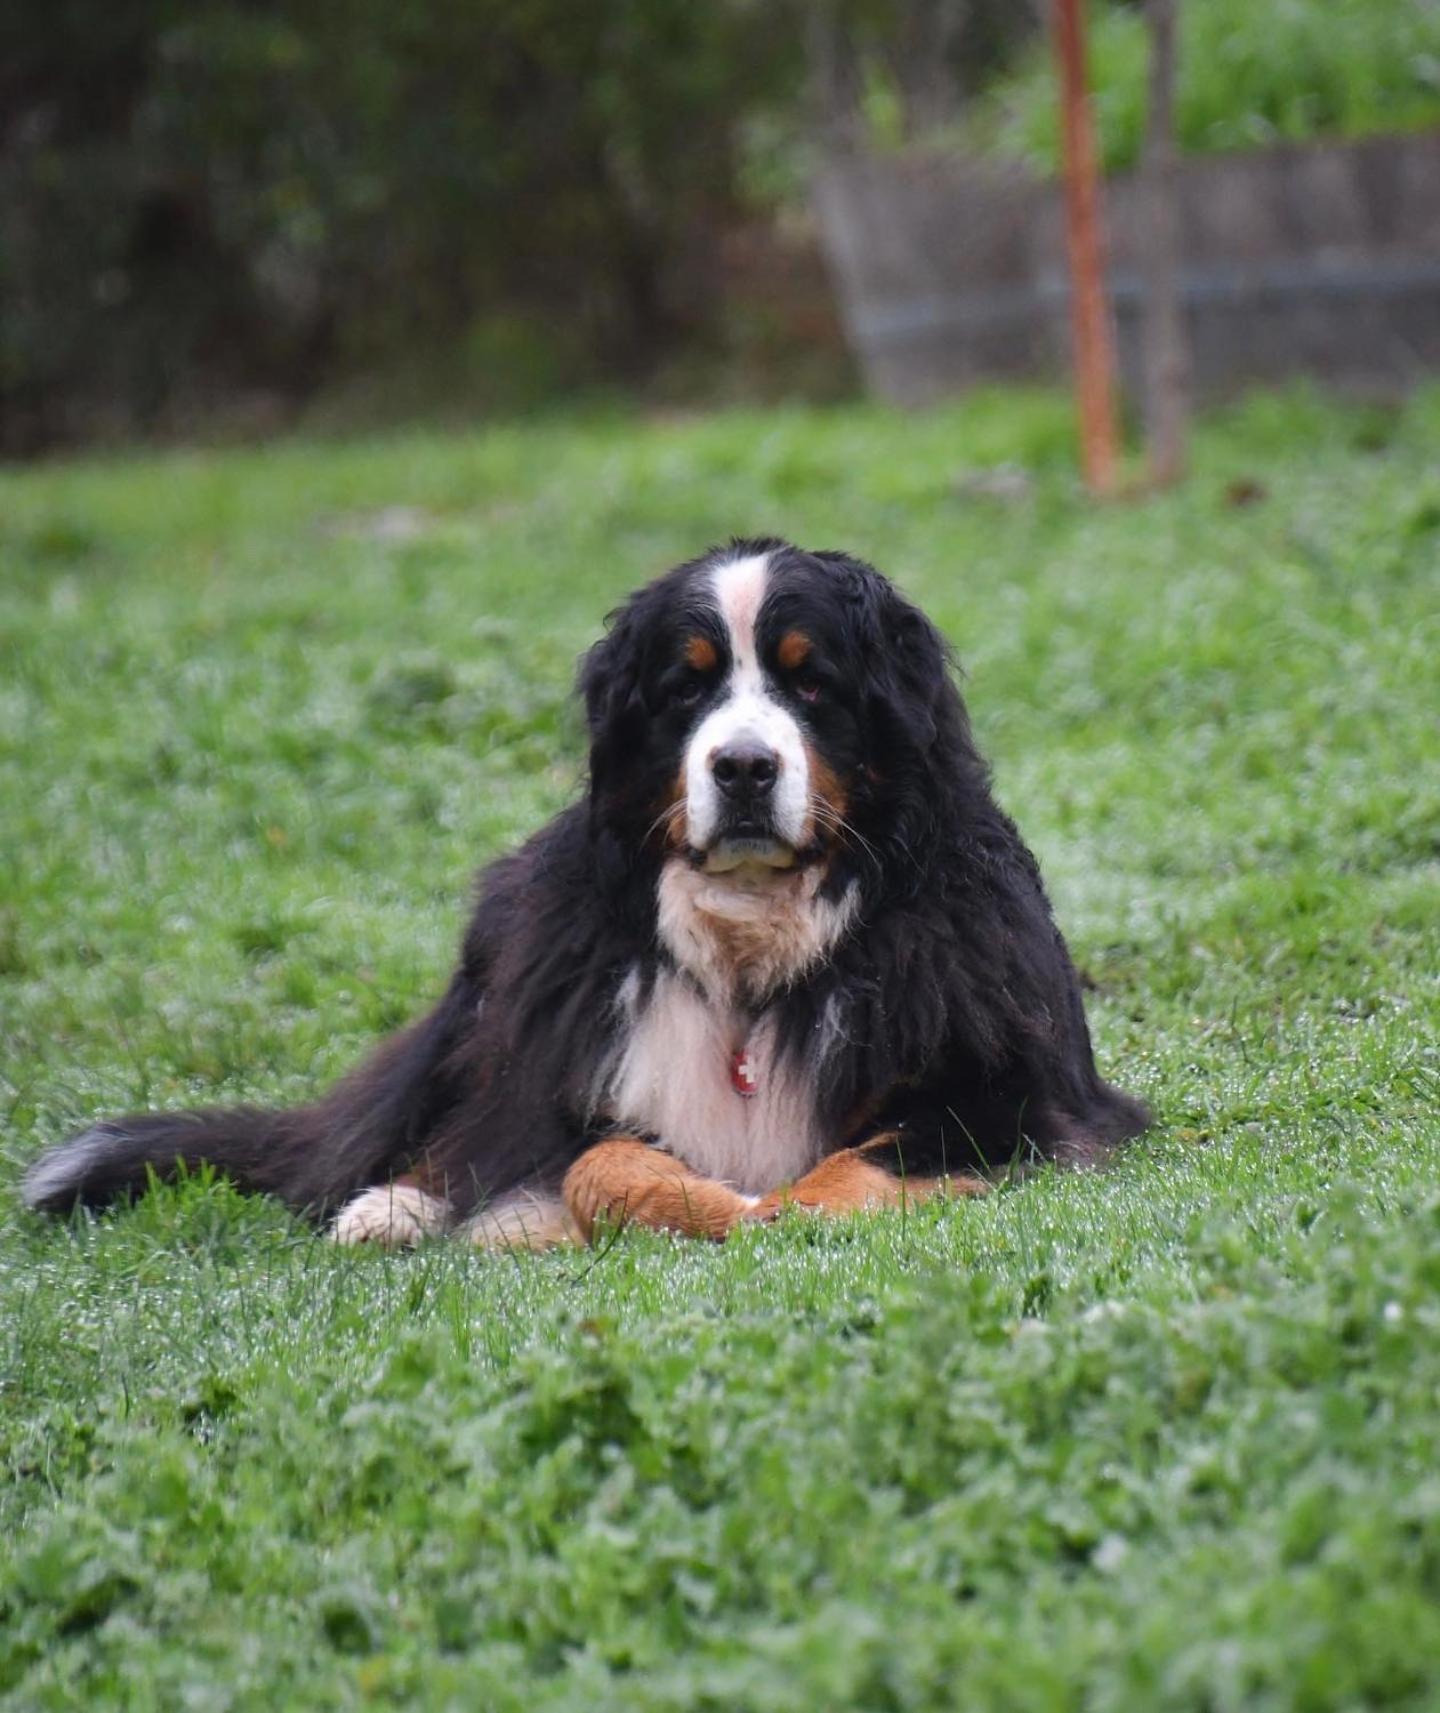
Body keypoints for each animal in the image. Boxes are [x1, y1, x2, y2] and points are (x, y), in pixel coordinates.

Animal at [19, 541, 1143, 1253]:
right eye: (687, 687)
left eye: (811, 682)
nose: (742, 767)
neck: (755, 947)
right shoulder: (577, 1061)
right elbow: (591, 1158)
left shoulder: (1001, 1089)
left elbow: (864, 1156)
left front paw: (790, 1208)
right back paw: (394, 1207)